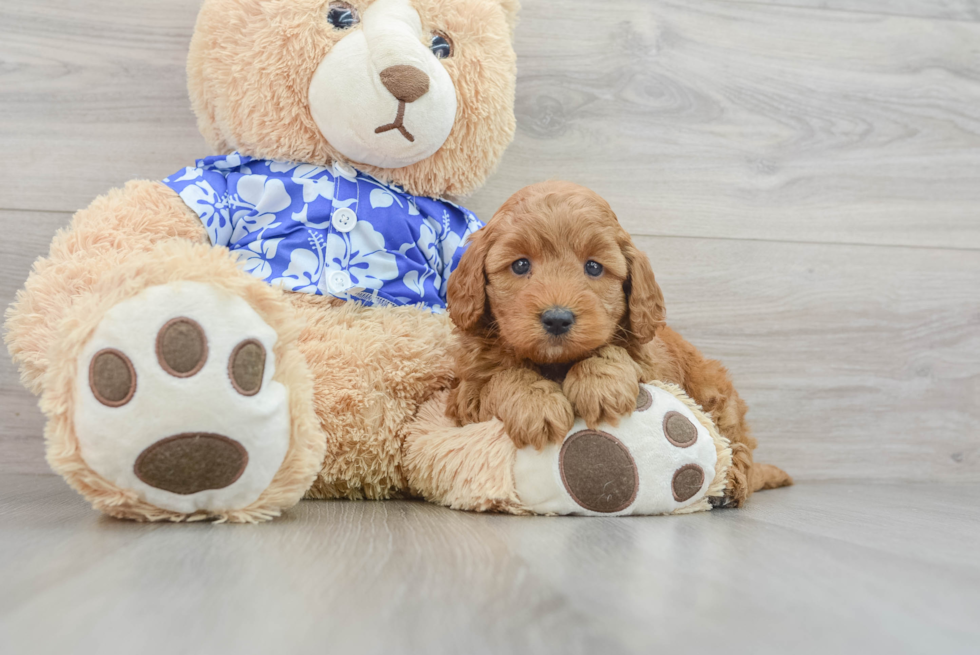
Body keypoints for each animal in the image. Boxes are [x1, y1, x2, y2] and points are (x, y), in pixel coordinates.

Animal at [444, 179, 788, 508]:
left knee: (736, 446)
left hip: (716, 396)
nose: (557, 318)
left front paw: (599, 387)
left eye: (594, 267)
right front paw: (536, 404)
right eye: (520, 265)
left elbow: (615, 351)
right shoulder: (466, 394)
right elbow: (502, 377)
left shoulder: (651, 365)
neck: (556, 363)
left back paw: (729, 486)